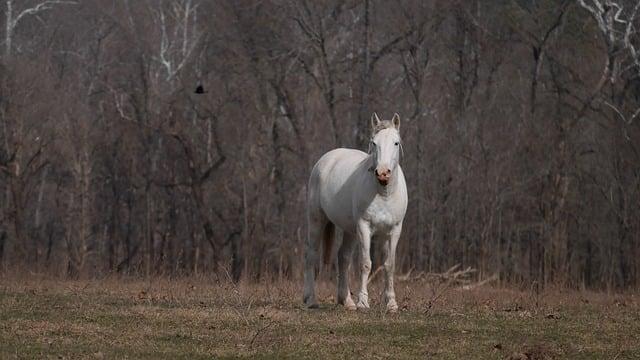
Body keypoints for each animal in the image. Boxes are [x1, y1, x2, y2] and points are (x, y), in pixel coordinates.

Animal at [302, 113, 408, 312]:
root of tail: (326, 159)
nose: (383, 173)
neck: (384, 194)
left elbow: (389, 265)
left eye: (396, 143)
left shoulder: (394, 230)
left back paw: (347, 301)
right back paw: (311, 299)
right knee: (311, 255)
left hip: (350, 230)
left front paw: (391, 303)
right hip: (316, 220)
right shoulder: (364, 227)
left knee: (343, 258)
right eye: (374, 142)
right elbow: (366, 264)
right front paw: (363, 303)